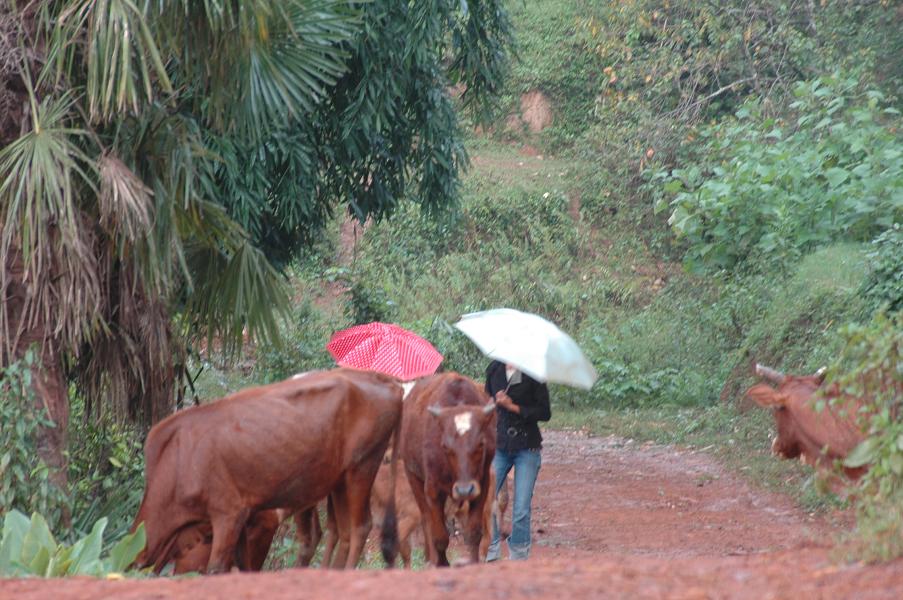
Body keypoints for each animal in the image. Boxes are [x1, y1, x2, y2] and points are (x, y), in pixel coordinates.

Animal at [133, 368, 402, 576]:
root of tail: (389, 383)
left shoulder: (228, 514)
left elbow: (217, 569)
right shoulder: (244, 518)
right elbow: (243, 565)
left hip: (363, 465)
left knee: (360, 527)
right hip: (338, 481)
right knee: (341, 531)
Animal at [398, 372, 498, 564]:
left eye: (481, 444)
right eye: (445, 446)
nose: (464, 490)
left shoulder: (482, 485)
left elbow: (474, 532)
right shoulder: (432, 490)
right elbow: (439, 536)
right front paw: (442, 564)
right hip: (413, 476)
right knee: (426, 519)